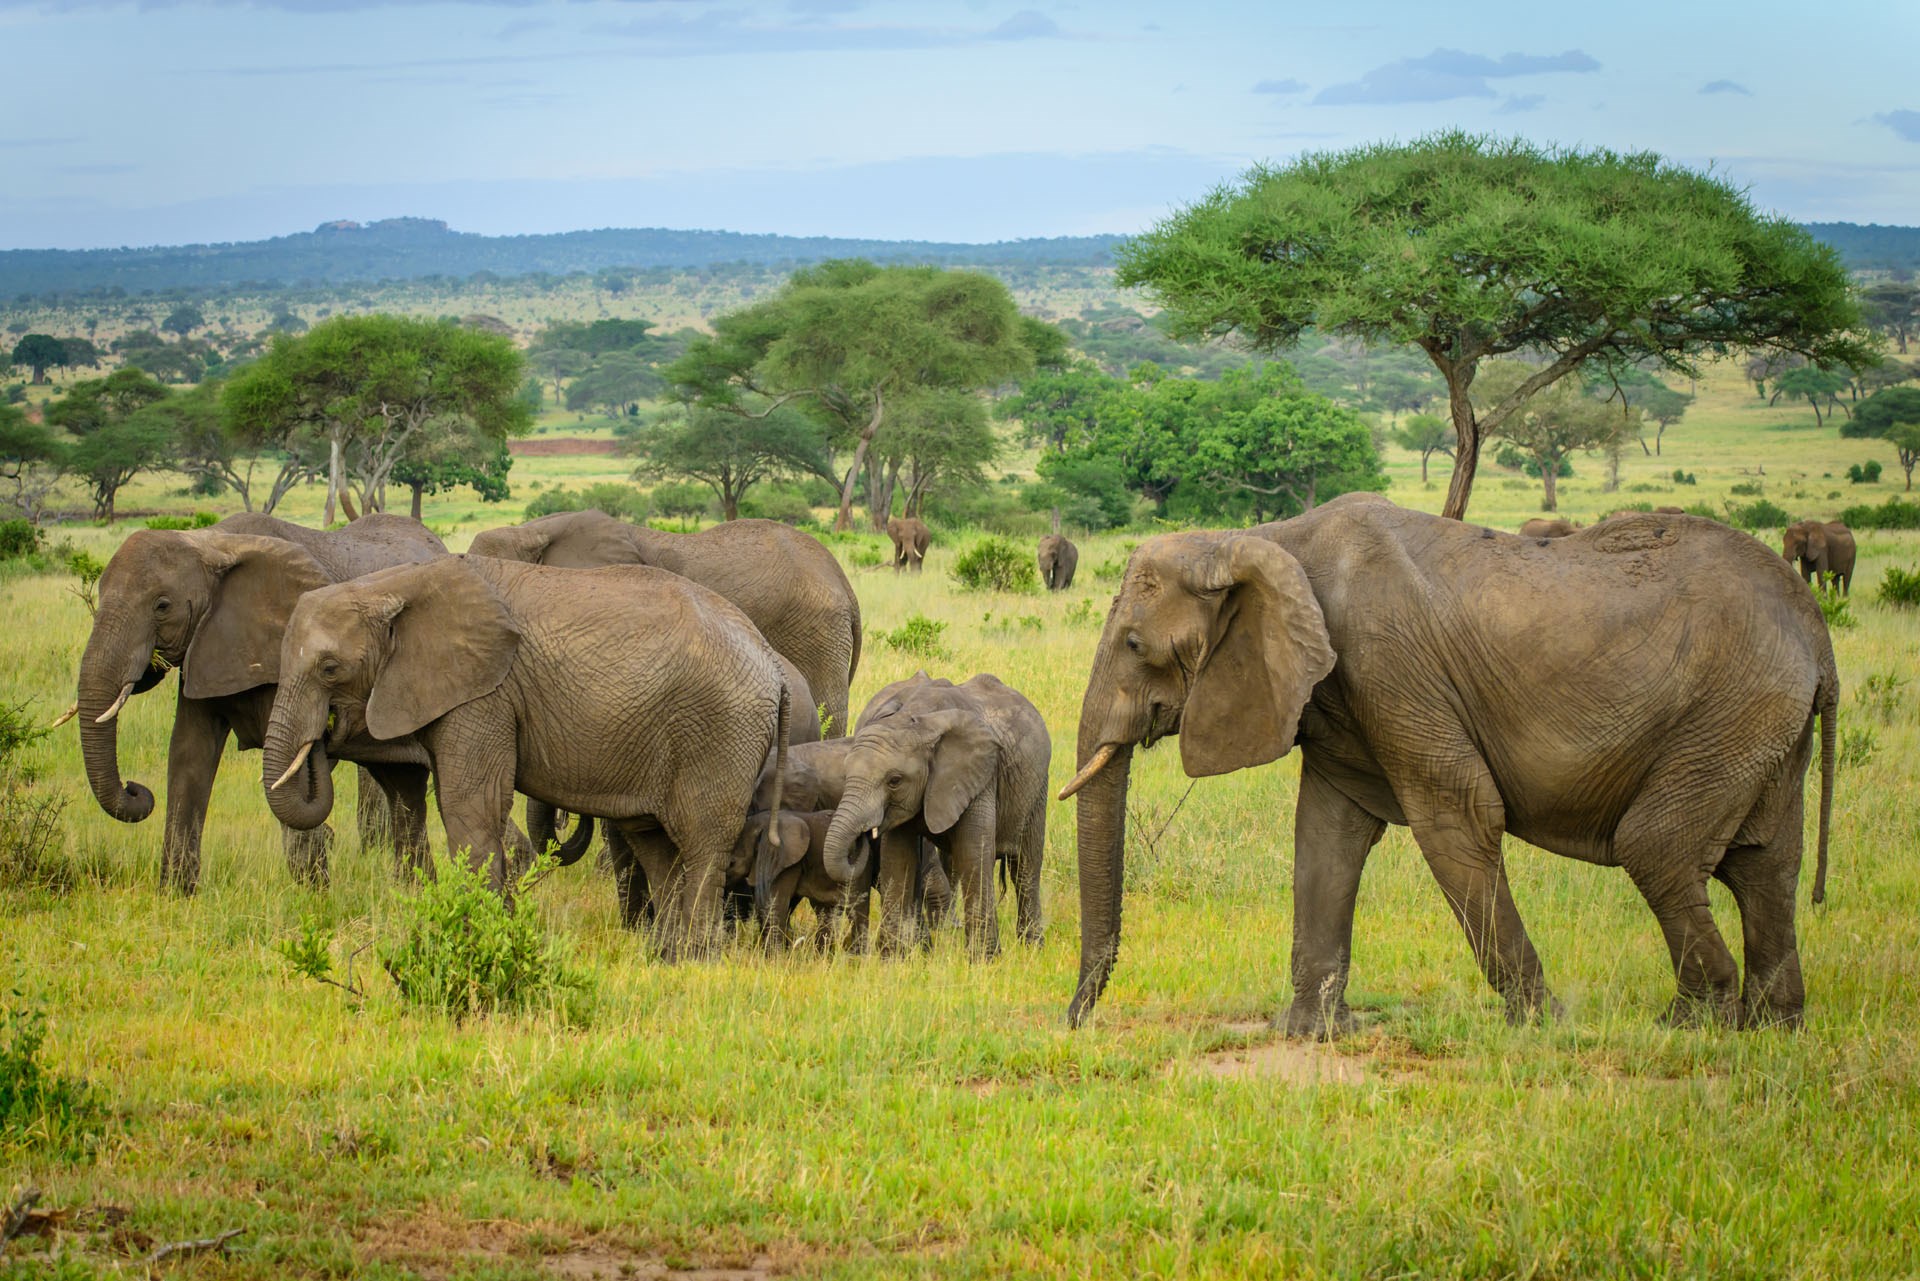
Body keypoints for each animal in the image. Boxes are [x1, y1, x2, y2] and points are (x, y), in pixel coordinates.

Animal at [73, 510, 445, 891]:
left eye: (162, 606)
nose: (135, 789)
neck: (210, 543)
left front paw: (314, 894)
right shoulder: (206, 646)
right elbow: (189, 752)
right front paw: (176, 894)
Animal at [261, 556, 787, 956]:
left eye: (330, 669)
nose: (324, 734)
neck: (389, 585)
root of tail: (772, 662)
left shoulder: (484, 695)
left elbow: (471, 807)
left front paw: (479, 938)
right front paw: (504, 930)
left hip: (720, 731)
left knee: (701, 842)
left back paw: (696, 958)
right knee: (656, 843)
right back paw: (665, 957)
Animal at [821, 676, 1052, 956]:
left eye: (894, 781)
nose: (863, 836)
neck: (916, 720)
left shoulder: (979, 776)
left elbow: (973, 853)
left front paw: (984, 959)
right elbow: (898, 858)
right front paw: (891, 957)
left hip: (1037, 790)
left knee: (1025, 866)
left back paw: (1033, 948)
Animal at [1067, 495, 1843, 1037]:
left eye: (1134, 643)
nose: (1073, 1021)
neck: (1258, 540)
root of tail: (1816, 631)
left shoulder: (1390, 665)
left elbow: (1458, 818)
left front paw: (1542, 1025)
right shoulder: (1337, 694)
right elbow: (1328, 835)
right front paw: (1312, 1032)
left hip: (1732, 708)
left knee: (1657, 846)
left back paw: (1688, 1025)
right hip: (1758, 724)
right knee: (1764, 862)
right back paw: (1772, 1026)